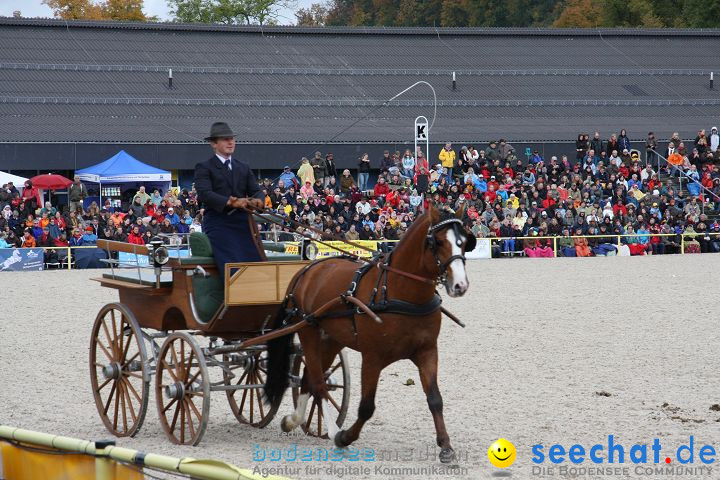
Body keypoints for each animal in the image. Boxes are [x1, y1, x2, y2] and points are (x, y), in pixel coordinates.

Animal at [264, 204, 472, 464]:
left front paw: (445, 446)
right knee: (319, 384)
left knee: (308, 379)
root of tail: (308, 269)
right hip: (309, 332)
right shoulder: (372, 357)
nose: (460, 286)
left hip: (331, 341)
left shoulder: (427, 351)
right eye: (438, 242)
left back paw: (293, 421)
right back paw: (332, 432)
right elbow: (366, 407)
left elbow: (435, 399)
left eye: (464, 242)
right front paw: (345, 438)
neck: (398, 292)